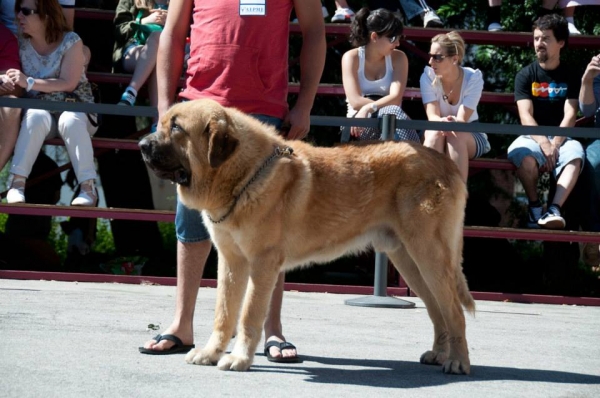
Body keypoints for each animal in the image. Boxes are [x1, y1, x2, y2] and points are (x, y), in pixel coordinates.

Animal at [138, 98, 476, 374]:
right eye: (163, 123)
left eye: (177, 127)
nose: (141, 144)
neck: (244, 175)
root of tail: (443, 162)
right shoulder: (231, 262)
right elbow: (224, 313)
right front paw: (210, 353)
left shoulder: (262, 263)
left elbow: (249, 314)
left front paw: (239, 358)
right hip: (408, 260)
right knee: (437, 310)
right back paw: (438, 353)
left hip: (429, 255)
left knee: (454, 311)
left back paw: (457, 362)